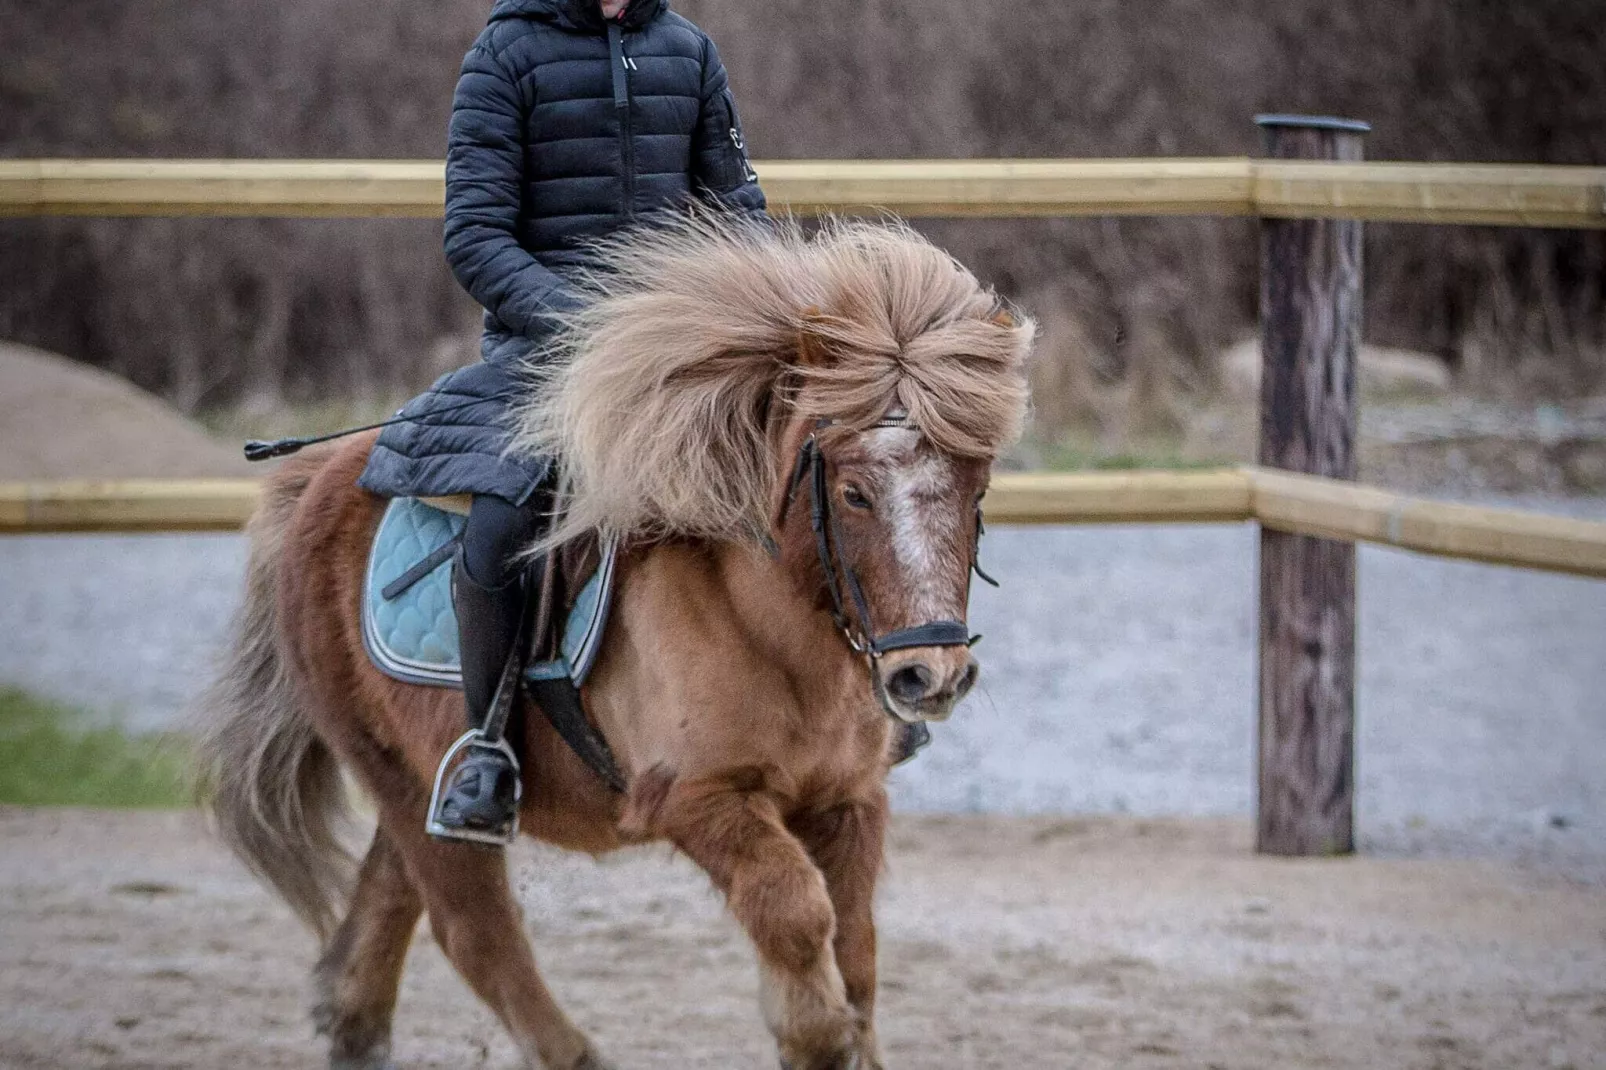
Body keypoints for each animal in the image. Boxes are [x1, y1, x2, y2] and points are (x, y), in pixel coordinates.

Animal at [194, 216, 1034, 1066]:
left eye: (978, 486)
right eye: (855, 493)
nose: (931, 675)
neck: (775, 632)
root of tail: (316, 482)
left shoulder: (848, 800)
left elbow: (856, 951)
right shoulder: (697, 798)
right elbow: (798, 917)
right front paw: (815, 1033)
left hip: (419, 777)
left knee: (388, 907)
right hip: (391, 770)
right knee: (473, 931)